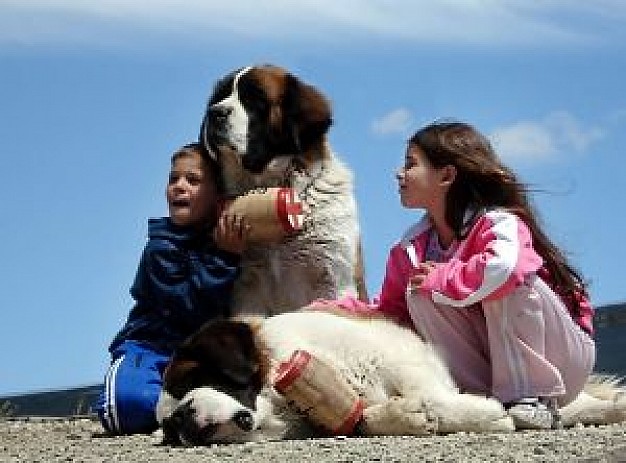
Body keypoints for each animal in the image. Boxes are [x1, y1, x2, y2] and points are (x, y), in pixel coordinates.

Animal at [155, 312, 624, 446]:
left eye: (186, 383)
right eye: (169, 428)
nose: (181, 420)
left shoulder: (397, 352)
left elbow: (431, 393)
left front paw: (478, 414)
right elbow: (365, 418)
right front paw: (410, 418)